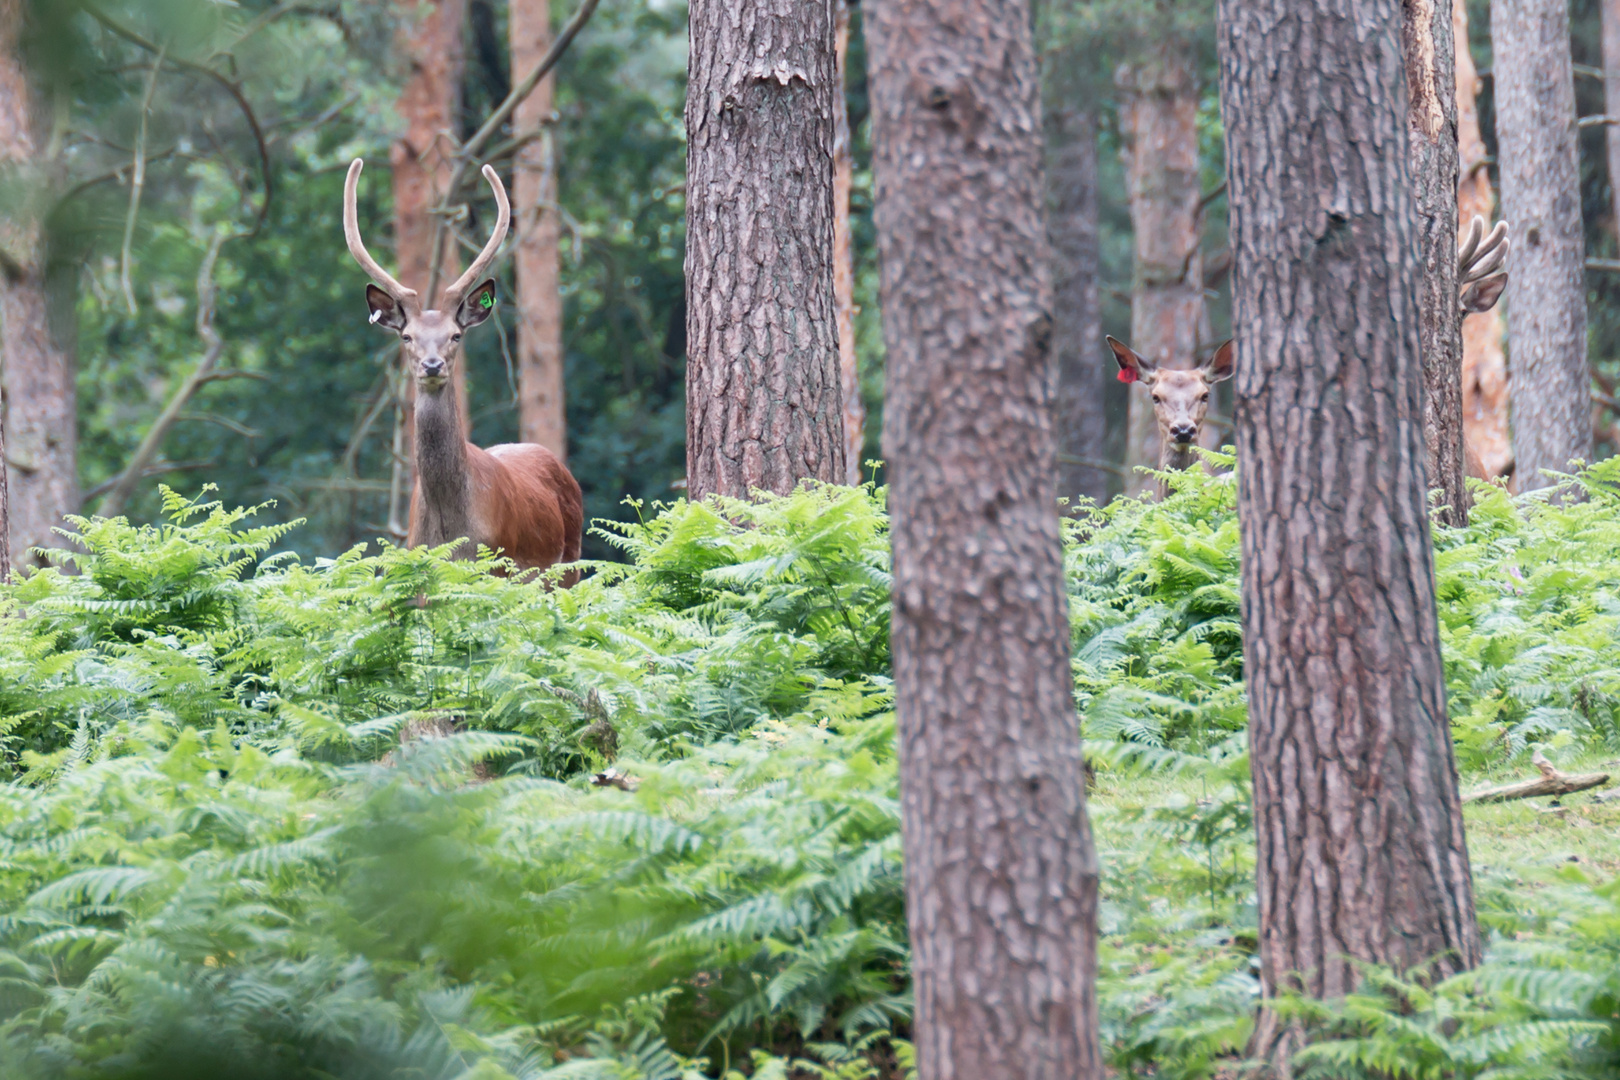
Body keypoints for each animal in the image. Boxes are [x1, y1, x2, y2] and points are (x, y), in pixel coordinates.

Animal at [345, 157, 586, 579]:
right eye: (406, 336)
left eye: (456, 335)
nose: (432, 365)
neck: (453, 532)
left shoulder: (498, 567)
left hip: (568, 563)